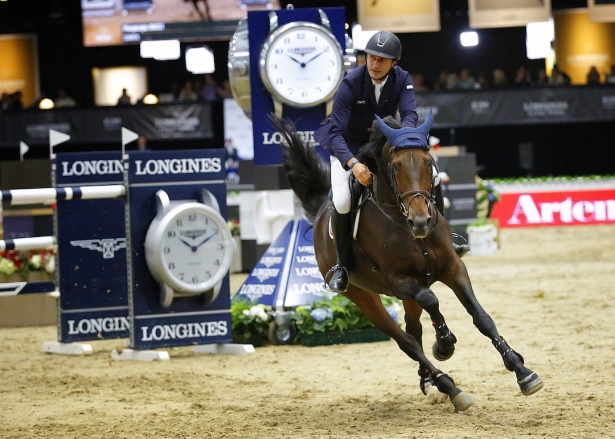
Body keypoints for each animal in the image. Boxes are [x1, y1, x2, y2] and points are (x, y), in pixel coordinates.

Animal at [272, 111, 548, 414]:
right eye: (394, 167)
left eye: (429, 163)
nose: (421, 222)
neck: (404, 223)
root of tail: (322, 211)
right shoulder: (398, 281)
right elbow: (432, 301)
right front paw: (445, 344)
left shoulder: (453, 268)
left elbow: (482, 318)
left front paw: (523, 371)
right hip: (363, 296)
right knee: (406, 341)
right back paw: (450, 387)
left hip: (406, 293)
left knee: (413, 330)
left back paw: (430, 382)